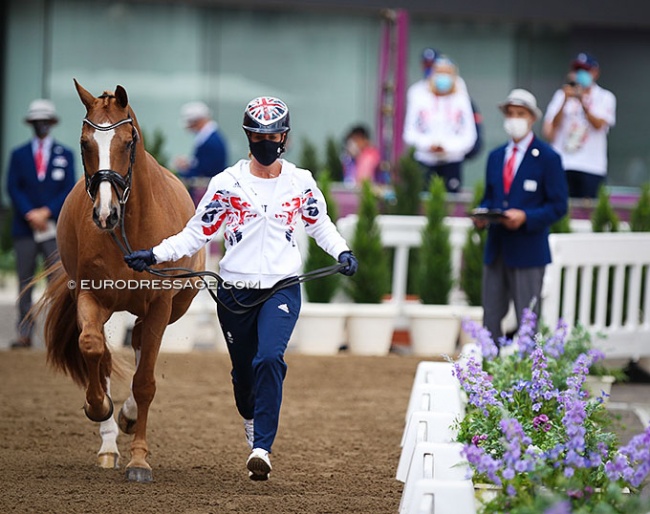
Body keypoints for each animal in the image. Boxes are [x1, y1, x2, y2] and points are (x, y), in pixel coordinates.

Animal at [41, 80, 202, 480]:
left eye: (128, 142)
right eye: (84, 143)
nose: (105, 213)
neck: (132, 226)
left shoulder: (160, 305)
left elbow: (144, 382)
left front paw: (139, 460)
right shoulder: (90, 298)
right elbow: (93, 349)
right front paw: (99, 409)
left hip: (174, 307)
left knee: (143, 343)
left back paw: (128, 419)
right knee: (108, 352)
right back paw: (109, 443)